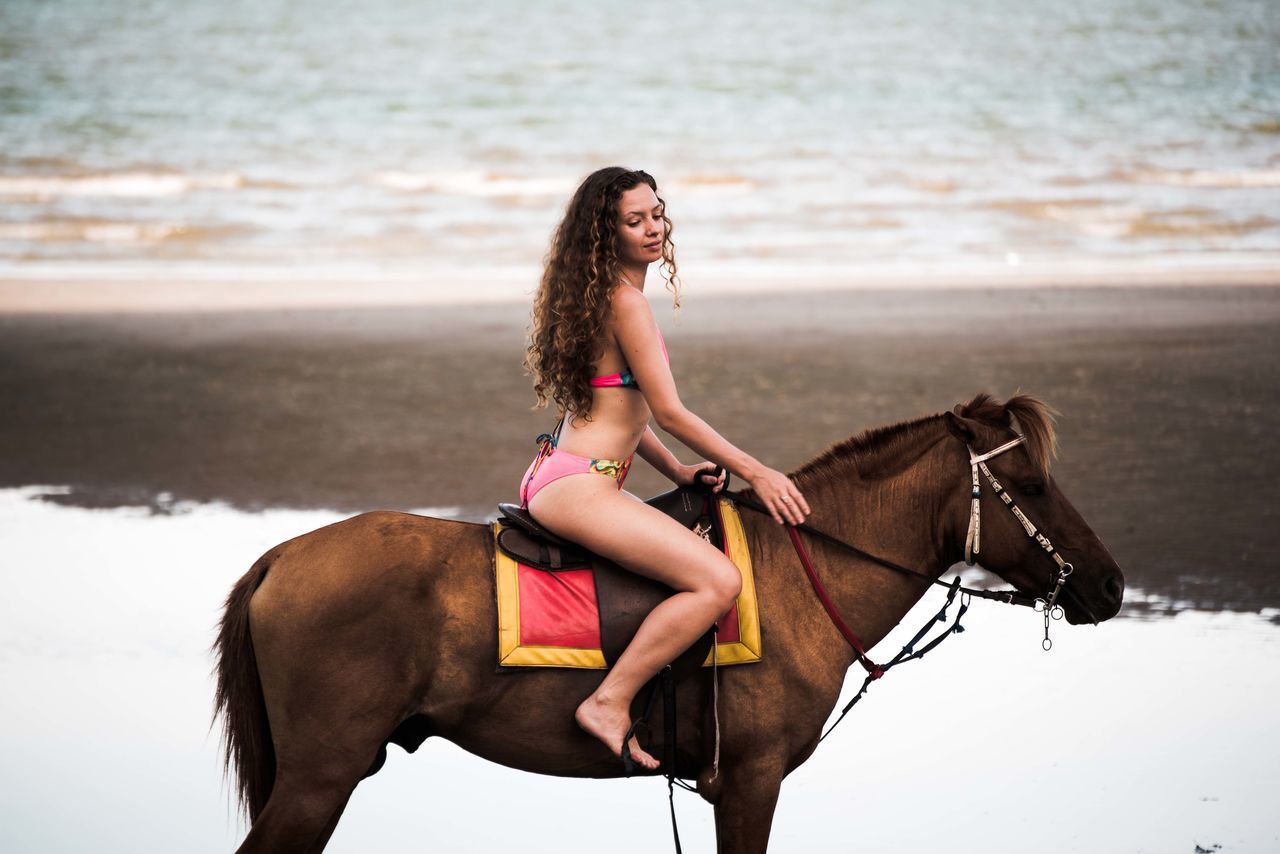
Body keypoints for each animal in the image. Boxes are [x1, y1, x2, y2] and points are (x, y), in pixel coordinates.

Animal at [215, 391, 1126, 850]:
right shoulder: (750, 782)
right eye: (1034, 486)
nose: (1112, 586)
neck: (799, 572)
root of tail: (283, 556)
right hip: (319, 779)